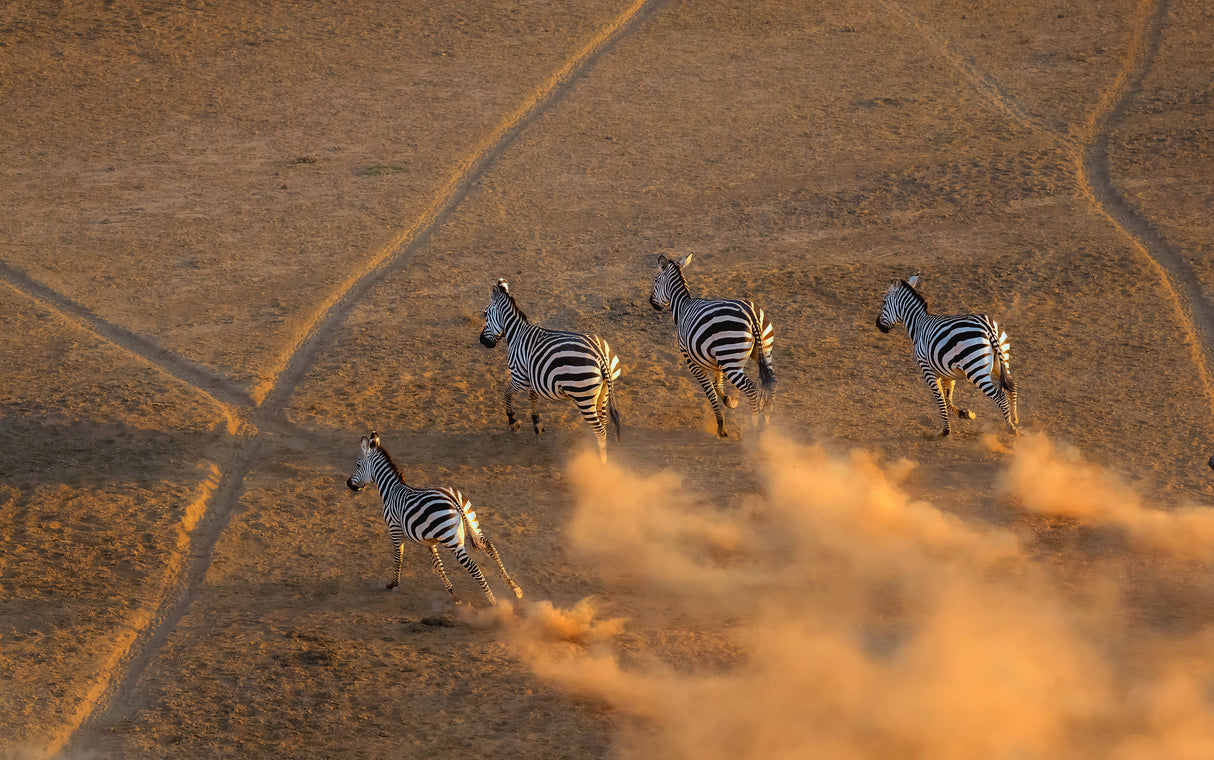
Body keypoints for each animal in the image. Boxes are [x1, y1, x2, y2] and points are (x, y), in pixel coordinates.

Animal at [345, 432, 523, 605]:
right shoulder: (429, 541)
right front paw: (453, 595)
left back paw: (494, 602)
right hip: (471, 521)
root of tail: (452, 499)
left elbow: (398, 557)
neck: (391, 490)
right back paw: (515, 588)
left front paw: (393, 583)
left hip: (451, 539)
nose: (348, 483)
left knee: (473, 567)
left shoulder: (394, 529)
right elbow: (438, 565)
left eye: (358, 465)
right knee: (490, 547)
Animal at [479, 278, 622, 463]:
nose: (482, 341)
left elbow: (506, 392)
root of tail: (600, 355)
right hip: (603, 392)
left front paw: (513, 421)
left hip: (583, 395)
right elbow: (533, 396)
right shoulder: (534, 376)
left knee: (600, 429)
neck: (517, 334)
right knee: (603, 422)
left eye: (485, 314)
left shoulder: (519, 378)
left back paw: (601, 463)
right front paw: (537, 424)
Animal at [648, 252, 775, 438]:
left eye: (656, 280)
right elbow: (718, 385)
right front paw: (730, 401)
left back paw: (754, 427)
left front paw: (721, 427)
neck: (682, 307)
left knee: (751, 388)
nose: (651, 302)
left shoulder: (693, 363)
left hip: (730, 361)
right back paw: (766, 425)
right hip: (764, 352)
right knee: (770, 385)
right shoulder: (716, 361)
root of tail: (750, 314)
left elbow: (710, 393)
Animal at [875, 274, 1018, 438]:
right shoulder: (948, 373)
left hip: (975, 371)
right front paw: (966, 414)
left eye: (884, 302)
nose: (877, 324)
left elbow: (940, 400)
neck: (918, 325)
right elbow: (948, 401)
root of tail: (986, 325)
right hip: (1001, 362)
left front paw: (945, 431)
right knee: (1013, 385)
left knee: (1000, 397)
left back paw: (1011, 427)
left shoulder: (928, 371)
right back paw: (1015, 419)